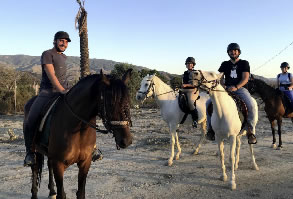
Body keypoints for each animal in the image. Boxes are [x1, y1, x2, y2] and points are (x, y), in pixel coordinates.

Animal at [24, 69, 133, 198]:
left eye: (128, 101)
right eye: (110, 103)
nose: (126, 141)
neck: (76, 128)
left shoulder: (85, 163)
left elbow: (81, 193)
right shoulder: (58, 164)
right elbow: (62, 194)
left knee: (48, 165)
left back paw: (52, 192)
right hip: (35, 149)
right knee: (35, 168)